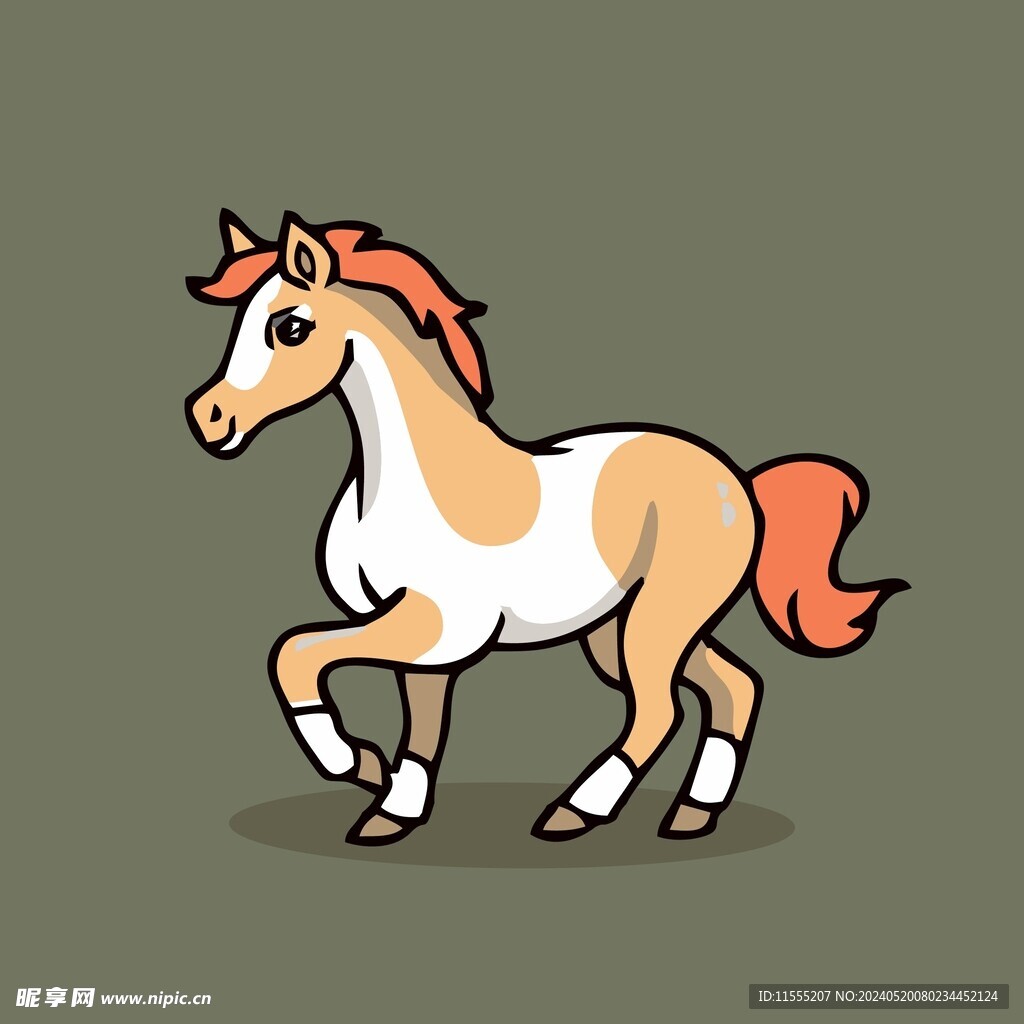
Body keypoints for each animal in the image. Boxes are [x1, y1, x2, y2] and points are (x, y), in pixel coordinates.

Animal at [185, 210, 908, 847]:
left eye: (291, 326)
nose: (208, 419)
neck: (413, 483)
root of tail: (740, 483)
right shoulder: (427, 639)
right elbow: (420, 724)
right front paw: (390, 807)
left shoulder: (436, 622)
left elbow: (296, 652)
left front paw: (354, 762)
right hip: (628, 630)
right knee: (733, 688)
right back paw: (691, 814)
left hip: (659, 619)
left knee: (661, 708)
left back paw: (576, 812)